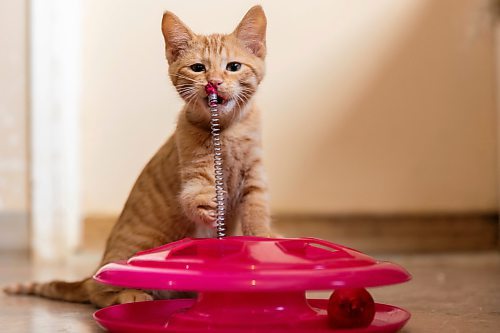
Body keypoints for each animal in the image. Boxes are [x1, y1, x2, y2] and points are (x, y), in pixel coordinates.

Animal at [5, 5, 276, 308]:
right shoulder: (194, 169)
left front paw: (263, 246)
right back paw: (132, 295)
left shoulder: (254, 178)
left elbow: (257, 214)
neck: (228, 131)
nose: (214, 82)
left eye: (233, 66)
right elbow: (193, 195)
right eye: (198, 68)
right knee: (101, 292)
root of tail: (86, 277)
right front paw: (208, 206)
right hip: (125, 263)